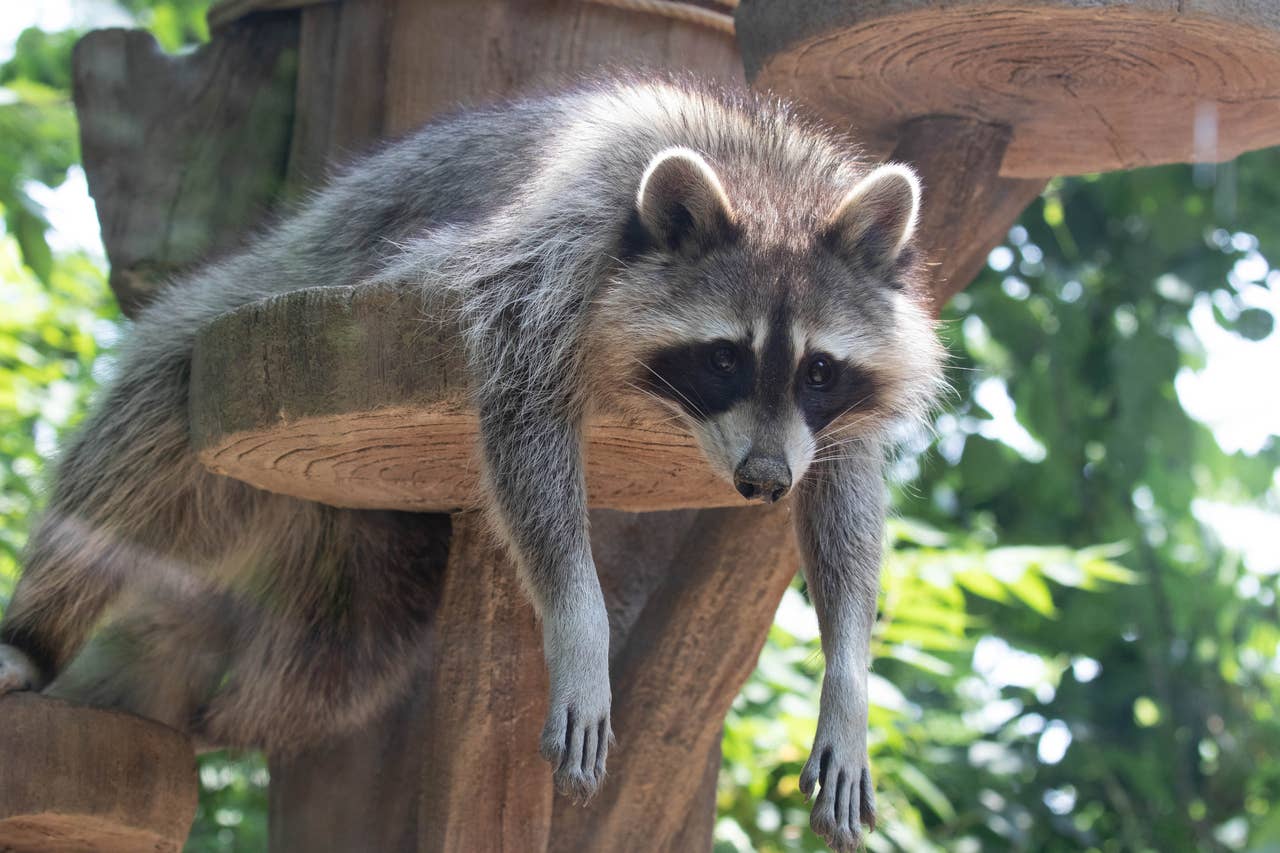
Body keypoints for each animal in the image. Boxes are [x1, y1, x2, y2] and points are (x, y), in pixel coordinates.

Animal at [0, 78, 943, 851]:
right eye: (723, 359)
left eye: (818, 370)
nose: (762, 480)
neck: (762, 174)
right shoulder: (545, 263)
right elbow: (524, 427)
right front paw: (579, 625)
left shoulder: (819, 417)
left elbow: (843, 486)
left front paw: (847, 677)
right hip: (254, 314)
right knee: (136, 451)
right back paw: (37, 631)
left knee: (350, 639)